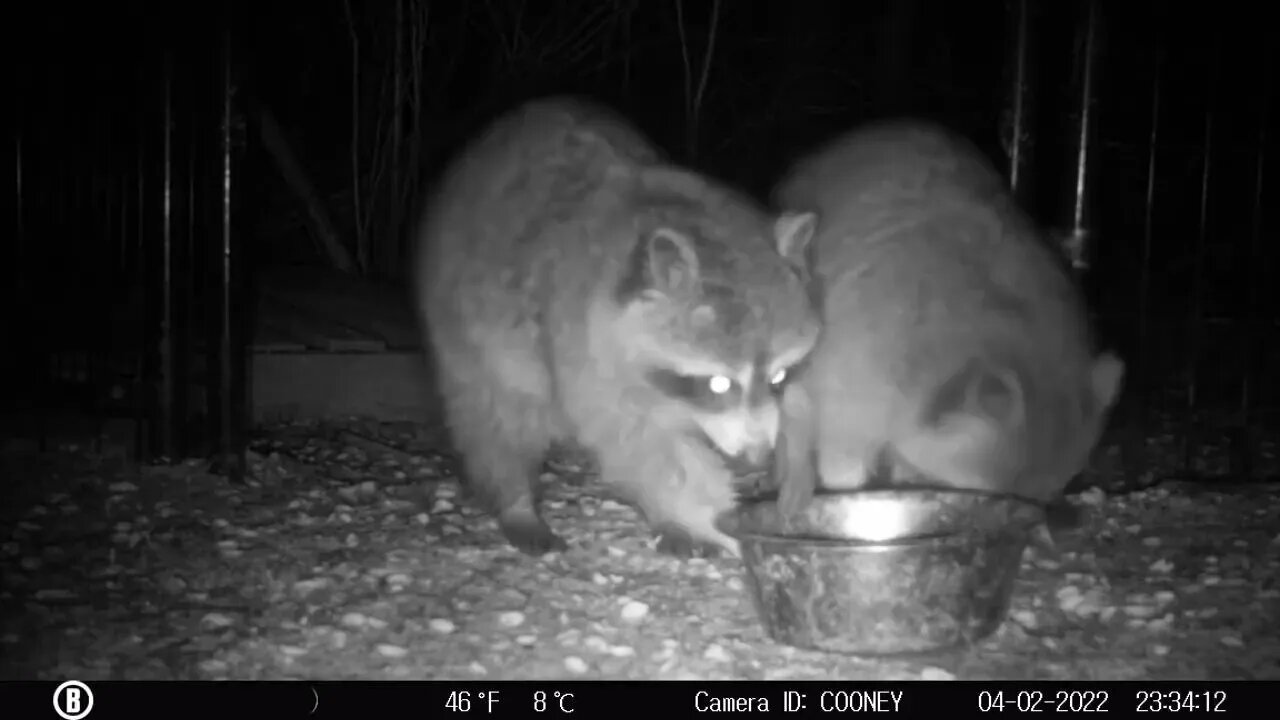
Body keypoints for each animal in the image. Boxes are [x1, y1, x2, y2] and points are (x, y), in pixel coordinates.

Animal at [414, 95, 814, 556]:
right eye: (718, 383)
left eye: (780, 376)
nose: (756, 457)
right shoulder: (584, 346)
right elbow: (642, 446)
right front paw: (699, 517)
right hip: (464, 329)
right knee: (496, 419)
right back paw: (516, 501)